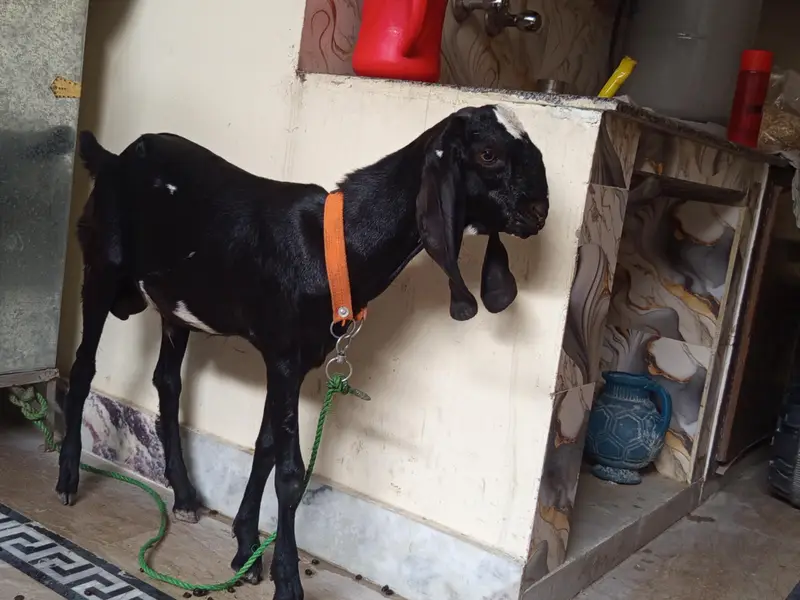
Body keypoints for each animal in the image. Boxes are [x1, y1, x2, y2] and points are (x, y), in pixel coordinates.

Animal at [58, 104, 549, 600]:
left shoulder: (292, 359)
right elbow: (291, 472)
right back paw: (67, 478)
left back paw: (184, 495)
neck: (333, 245)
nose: (539, 211)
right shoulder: (283, 356)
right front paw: (287, 579)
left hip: (174, 304)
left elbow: (266, 447)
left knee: (168, 382)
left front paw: (246, 545)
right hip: (101, 268)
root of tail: (114, 159)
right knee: (83, 368)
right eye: (488, 153)